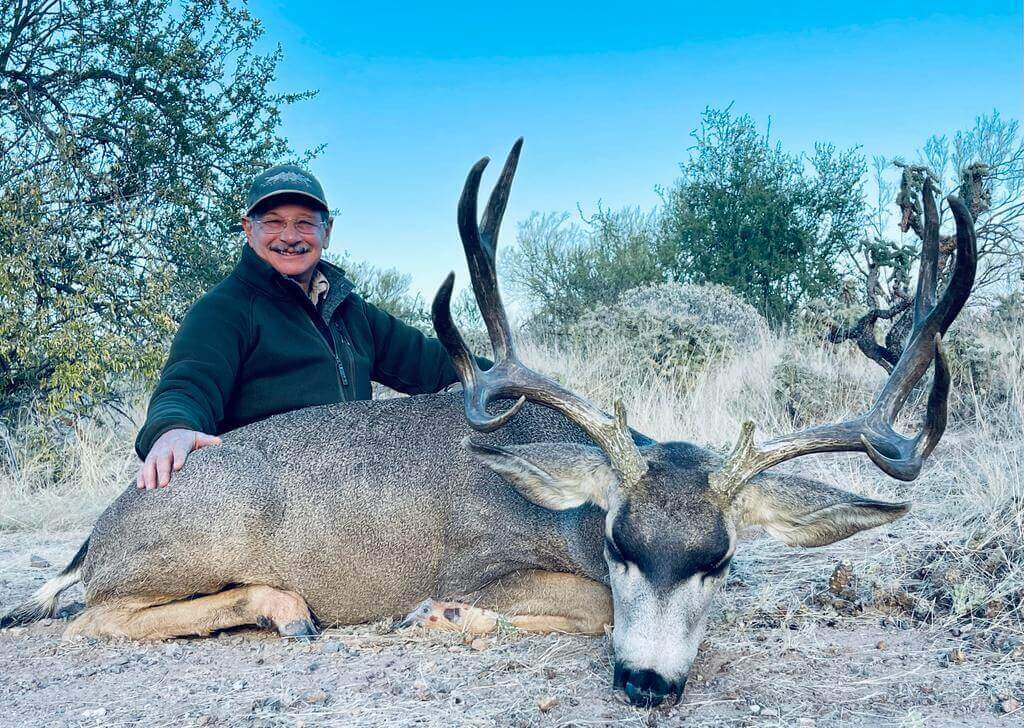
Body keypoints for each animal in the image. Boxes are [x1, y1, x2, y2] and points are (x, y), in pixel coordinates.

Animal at [2, 139, 976, 708]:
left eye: (722, 559)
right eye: (618, 541)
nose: (645, 683)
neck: (566, 516)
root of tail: (99, 532)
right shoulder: (482, 561)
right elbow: (582, 605)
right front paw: (436, 615)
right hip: (188, 548)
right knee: (92, 618)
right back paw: (287, 610)